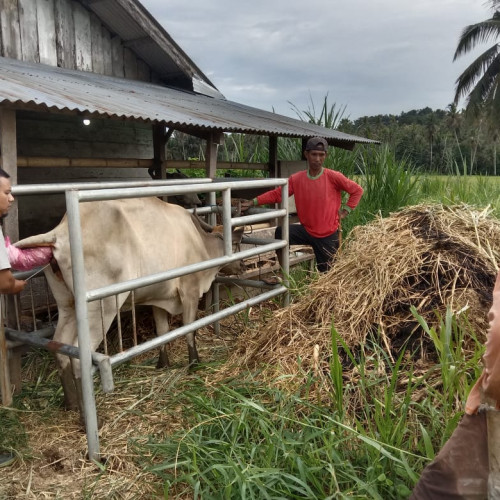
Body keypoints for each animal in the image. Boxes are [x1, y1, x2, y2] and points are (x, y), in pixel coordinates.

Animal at [18, 197, 245, 412]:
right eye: (235, 245)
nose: (243, 265)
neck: (200, 243)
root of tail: (60, 233)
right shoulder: (190, 291)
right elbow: (190, 330)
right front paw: (194, 363)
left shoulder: (160, 298)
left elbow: (162, 331)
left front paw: (163, 363)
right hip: (101, 308)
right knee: (78, 357)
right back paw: (86, 414)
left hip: (68, 306)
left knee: (60, 346)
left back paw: (70, 403)